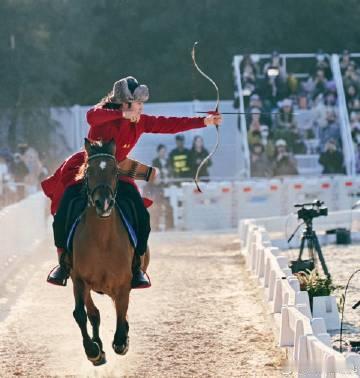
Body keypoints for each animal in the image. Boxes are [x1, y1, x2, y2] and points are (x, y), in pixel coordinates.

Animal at [70, 137, 134, 364]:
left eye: (115, 171)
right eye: (89, 171)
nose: (103, 203)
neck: (102, 240)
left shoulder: (124, 282)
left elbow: (122, 311)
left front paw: (121, 340)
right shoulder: (78, 280)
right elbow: (81, 314)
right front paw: (92, 350)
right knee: (93, 313)